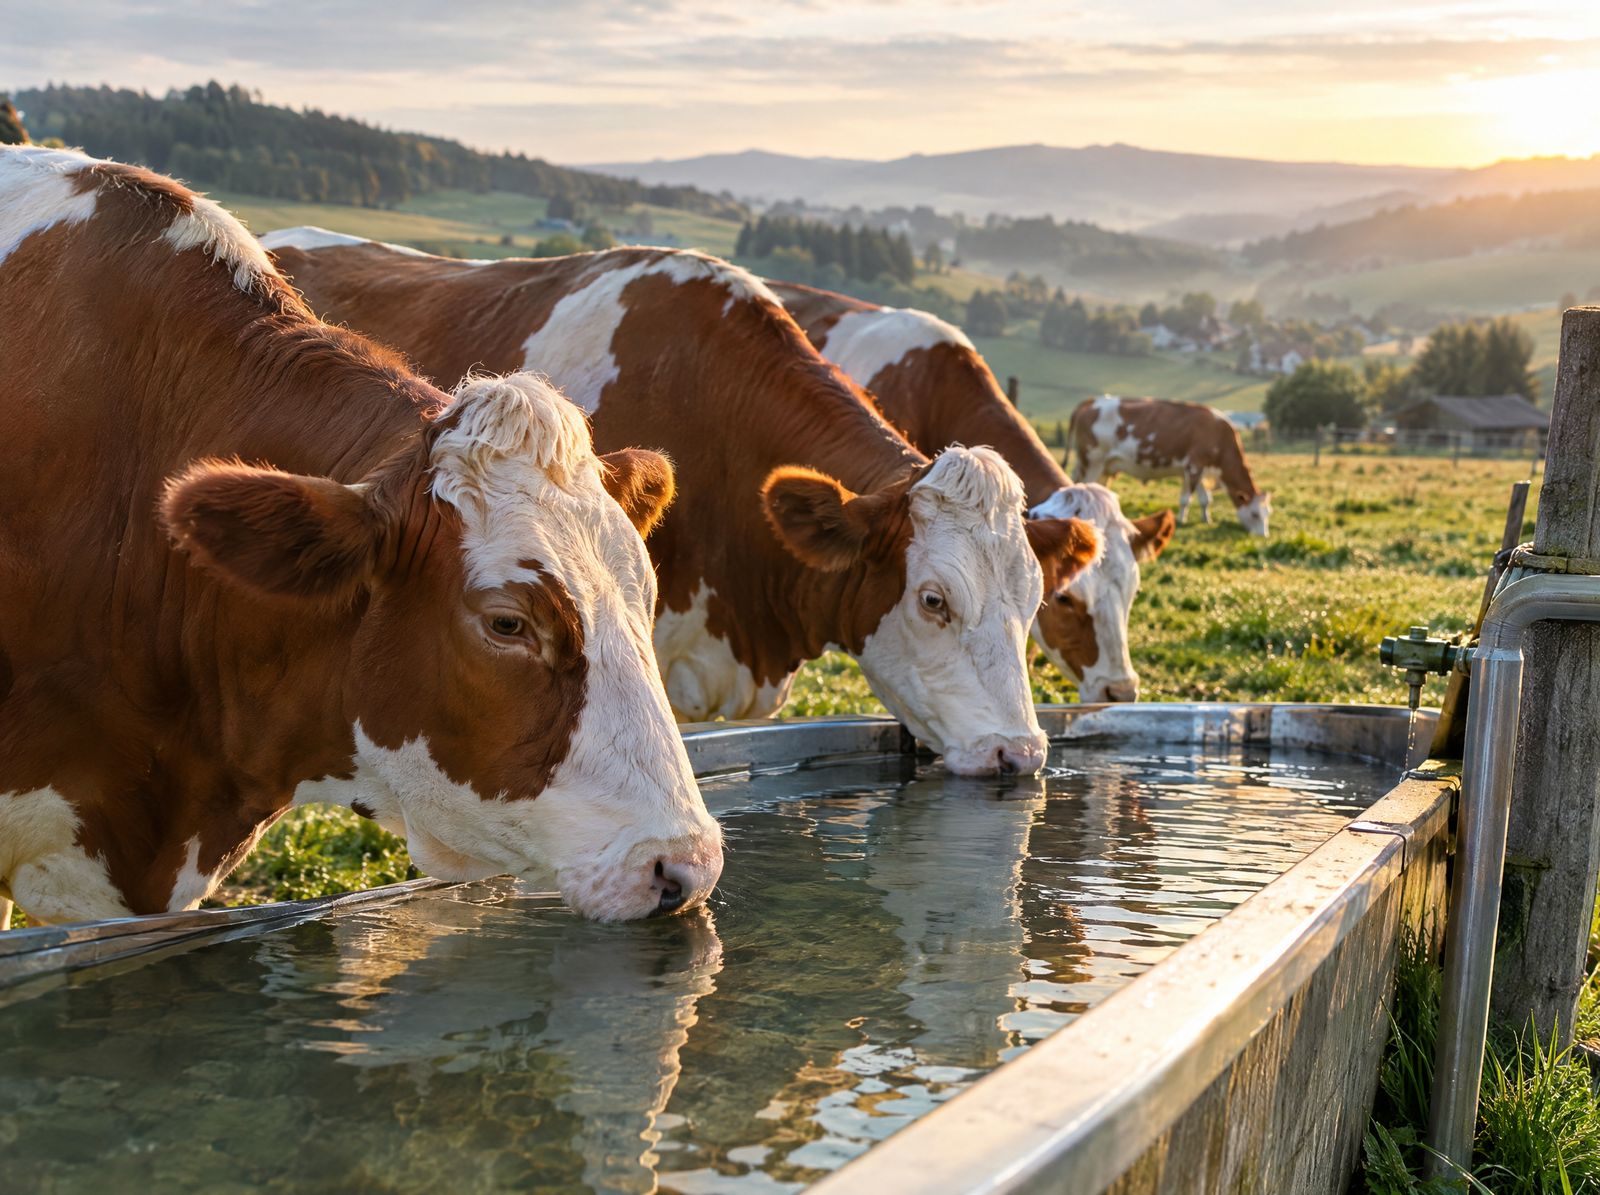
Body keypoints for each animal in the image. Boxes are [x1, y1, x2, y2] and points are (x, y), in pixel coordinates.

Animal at [1070, 395, 1271, 535]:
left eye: (1268, 513)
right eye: (1255, 514)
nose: (1263, 535)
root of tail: (1091, 401)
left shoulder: (1195, 470)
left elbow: (1205, 499)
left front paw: (1206, 519)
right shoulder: (1194, 465)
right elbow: (1186, 499)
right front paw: (1181, 520)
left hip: (1101, 466)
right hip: (1093, 461)